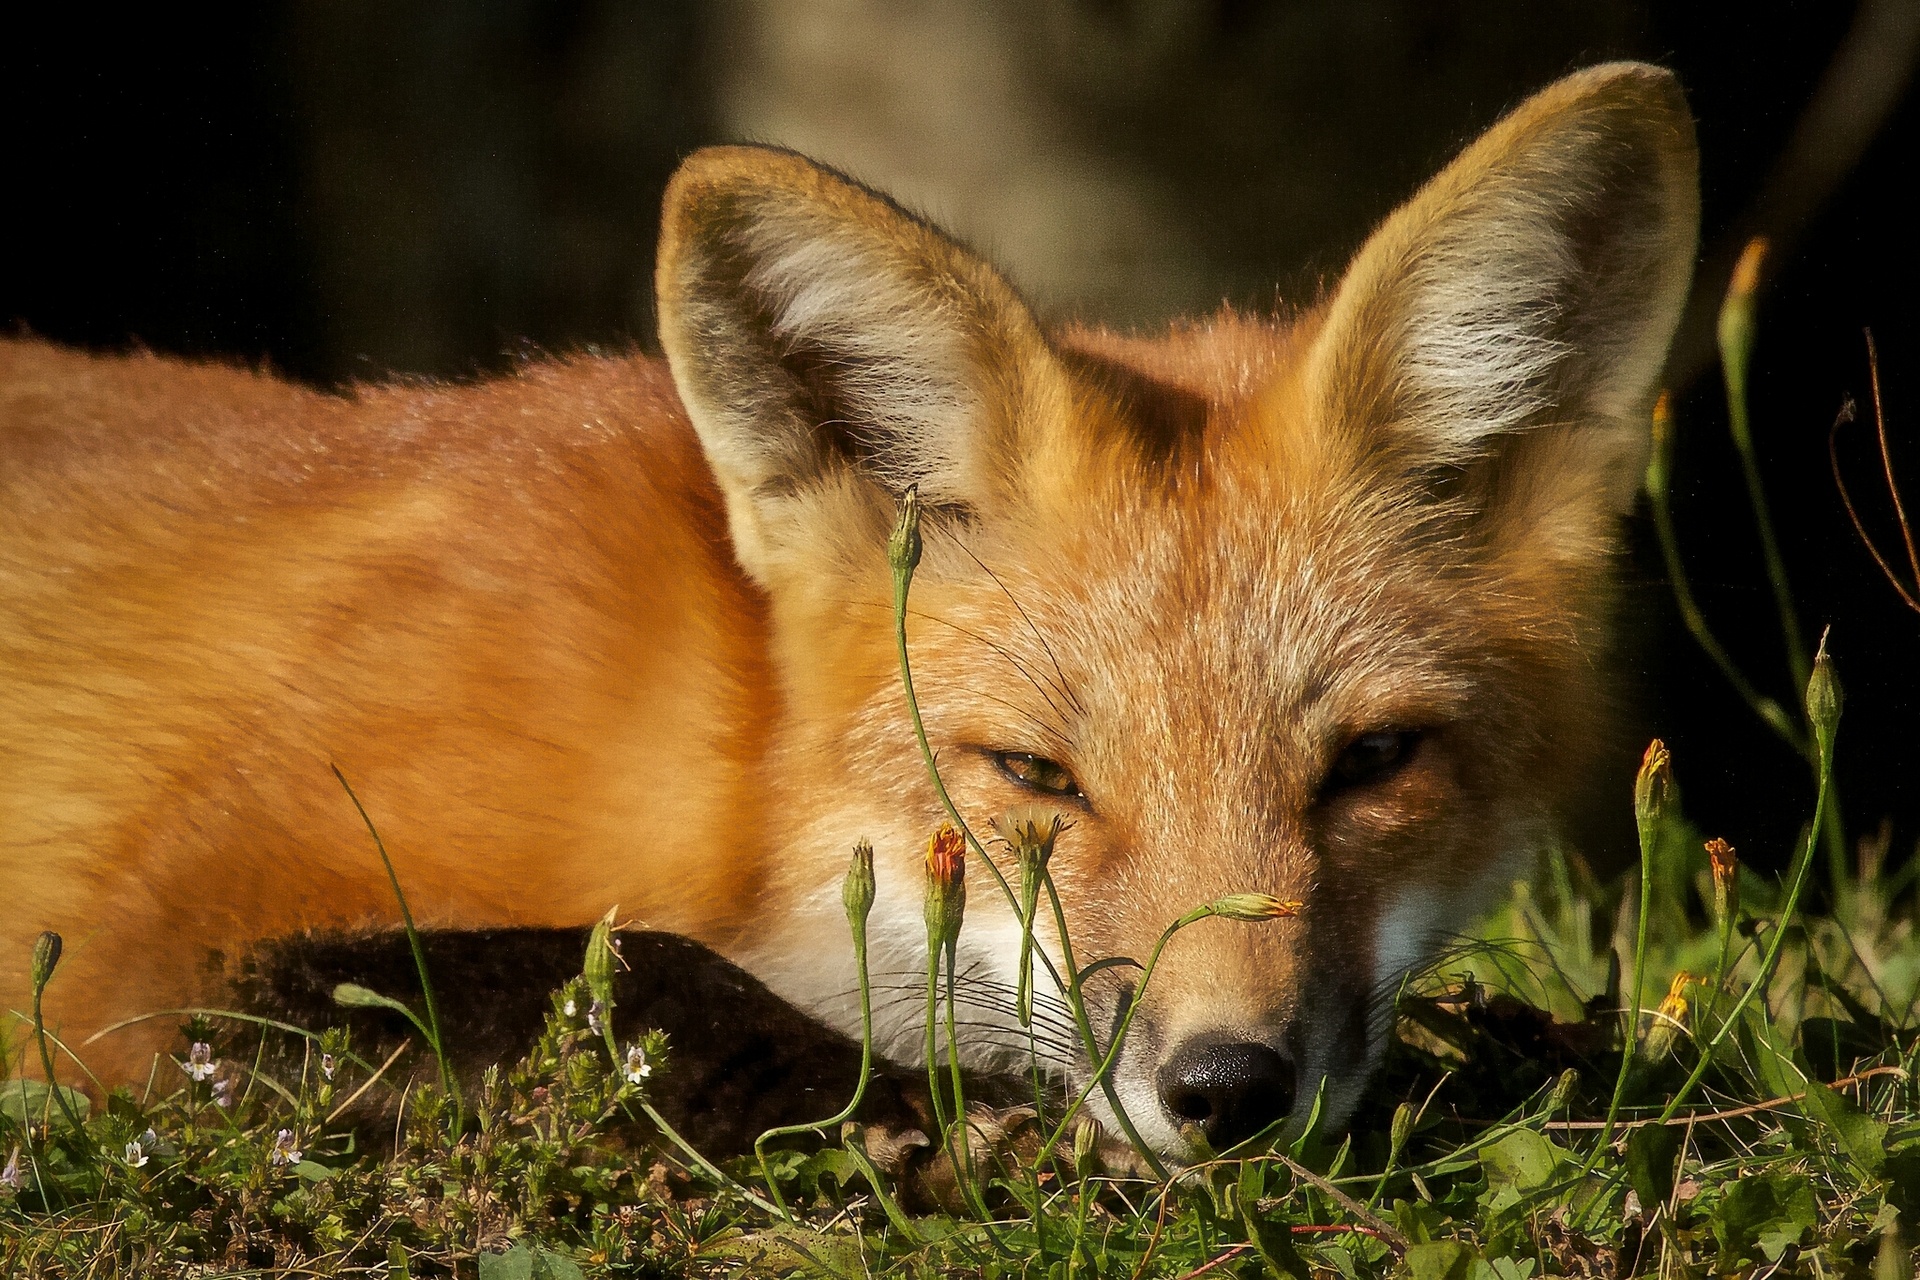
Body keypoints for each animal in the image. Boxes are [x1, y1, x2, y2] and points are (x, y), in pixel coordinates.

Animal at [7, 65, 1697, 1159]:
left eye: (1371, 764)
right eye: (1035, 777)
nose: (1227, 1091)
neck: (732, 775)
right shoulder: (132, 959)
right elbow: (635, 971)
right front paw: (903, 1122)